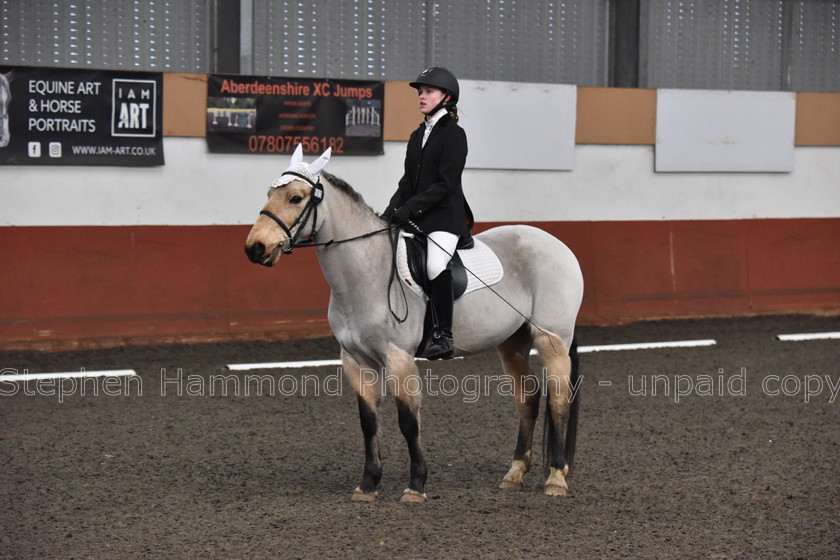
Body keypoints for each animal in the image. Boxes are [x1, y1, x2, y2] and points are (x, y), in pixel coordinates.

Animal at [244, 145, 584, 504]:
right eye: (269, 194)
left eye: (296, 198)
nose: (255, 248)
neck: (366, 273)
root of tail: (558, 244)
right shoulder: (356, 360)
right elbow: (368, 422)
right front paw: (368, 484)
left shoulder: (399, 357)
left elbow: (408, 421)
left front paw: (416, 485)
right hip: (512, 343)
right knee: (528, 399)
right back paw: (514, 475)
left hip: (552, 340)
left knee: (559, 401)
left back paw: (555, 479)